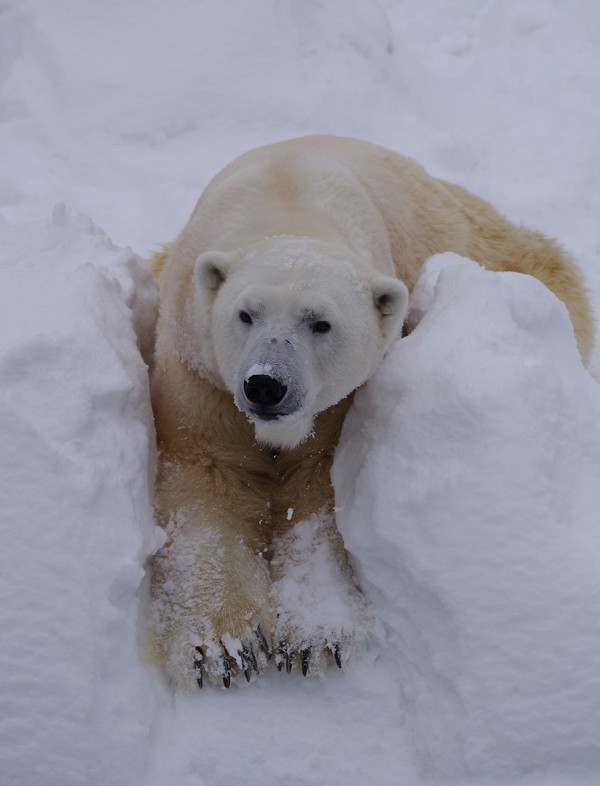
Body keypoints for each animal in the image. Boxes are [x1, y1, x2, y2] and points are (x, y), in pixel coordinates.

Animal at [148, 135, 592, 688]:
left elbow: (321, 489)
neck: (286, 205)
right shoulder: (198, 371)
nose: (265, 386)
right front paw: (223, 650)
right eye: (245, 314)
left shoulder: (344, 400)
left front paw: (315, 638)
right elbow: (205, 474)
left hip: (486, 240)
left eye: (320, 323)